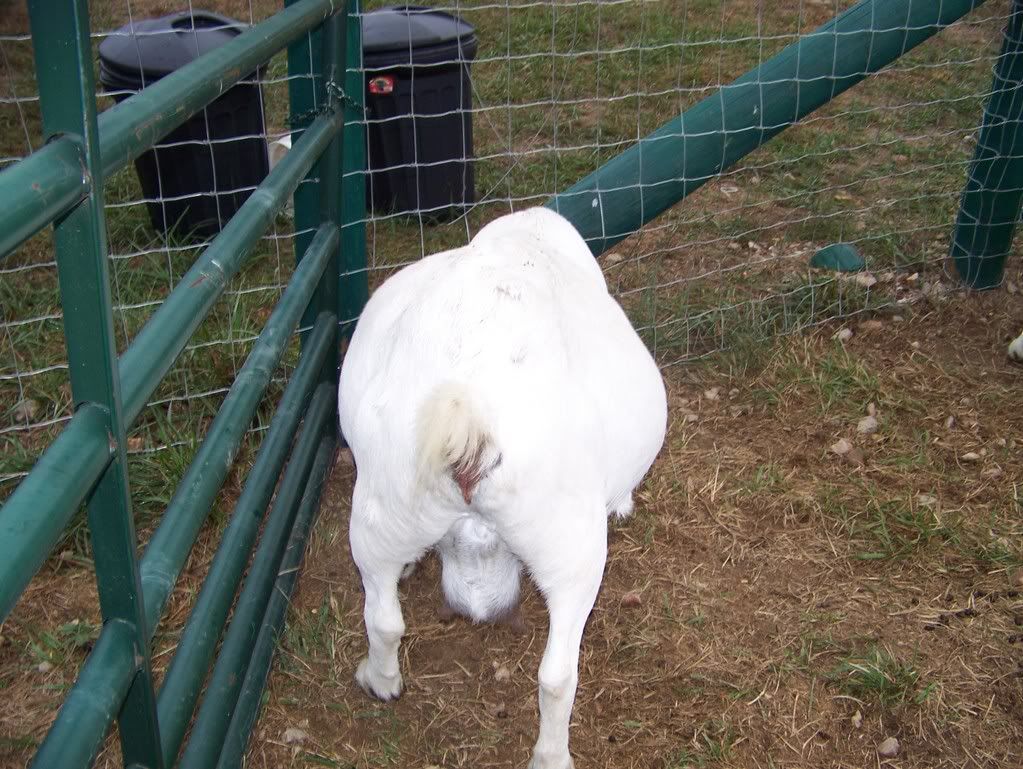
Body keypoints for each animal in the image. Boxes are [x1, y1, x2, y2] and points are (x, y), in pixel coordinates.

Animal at [338, 207, 667, 768]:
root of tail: (470, 418)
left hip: (385, 506)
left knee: (382, 616)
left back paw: (380, 680)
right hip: (569, 543)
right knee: (557, 676)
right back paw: (552, 755)